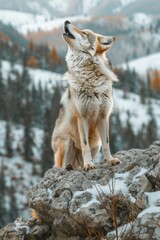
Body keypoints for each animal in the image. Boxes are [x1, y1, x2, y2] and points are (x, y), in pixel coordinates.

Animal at [51, 20, 121, 171]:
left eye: (84, 32)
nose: (66, 21)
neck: (91, 80)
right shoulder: (82, 118)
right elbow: (85, 145)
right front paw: (88, 165)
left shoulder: (103, 117)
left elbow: (107, 144)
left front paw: (110, 161)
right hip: (67, 141)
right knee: (61, 166)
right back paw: (70, 167)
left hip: (96, 144)